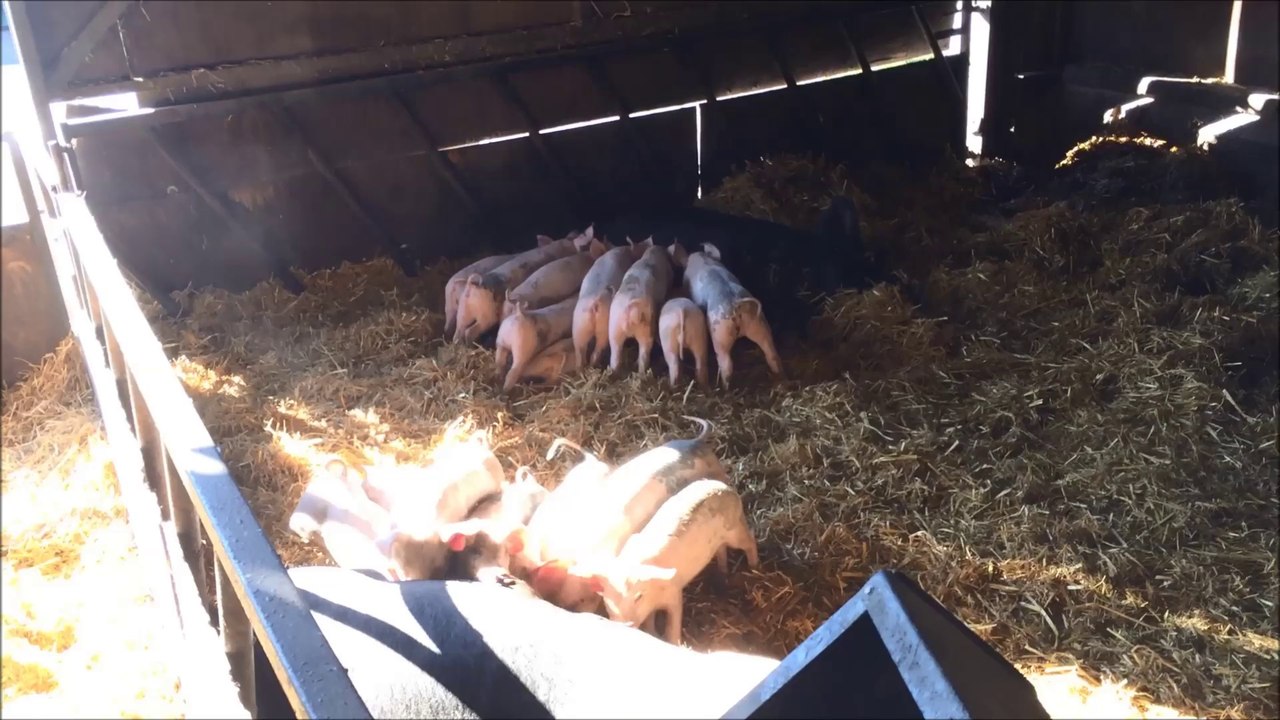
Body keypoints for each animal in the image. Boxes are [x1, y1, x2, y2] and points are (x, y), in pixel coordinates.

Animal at [571, 479, 759, 644]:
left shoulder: (674, 592)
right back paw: (722, 573)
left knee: (750, 542)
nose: (626, 625)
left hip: (735, 530)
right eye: (608, 599)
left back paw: (754, 566)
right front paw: (653, 634)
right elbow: (649, 622)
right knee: (721, 549)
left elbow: (673, 623)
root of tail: (726, 487)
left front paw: (674, 642)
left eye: (639, 596)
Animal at [608, 239, 674, 375]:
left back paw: (615, 372)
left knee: (615, 354)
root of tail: (631, 309)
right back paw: (642, 374)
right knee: (644, 354)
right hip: (646, 329)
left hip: (614, 328)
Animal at [671, 242, 783, 389]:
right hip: (759, 323)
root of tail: (736, 302)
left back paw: (723, 388)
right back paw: (780, 378)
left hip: (720, 331)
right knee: (772, 353)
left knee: (726, 363)